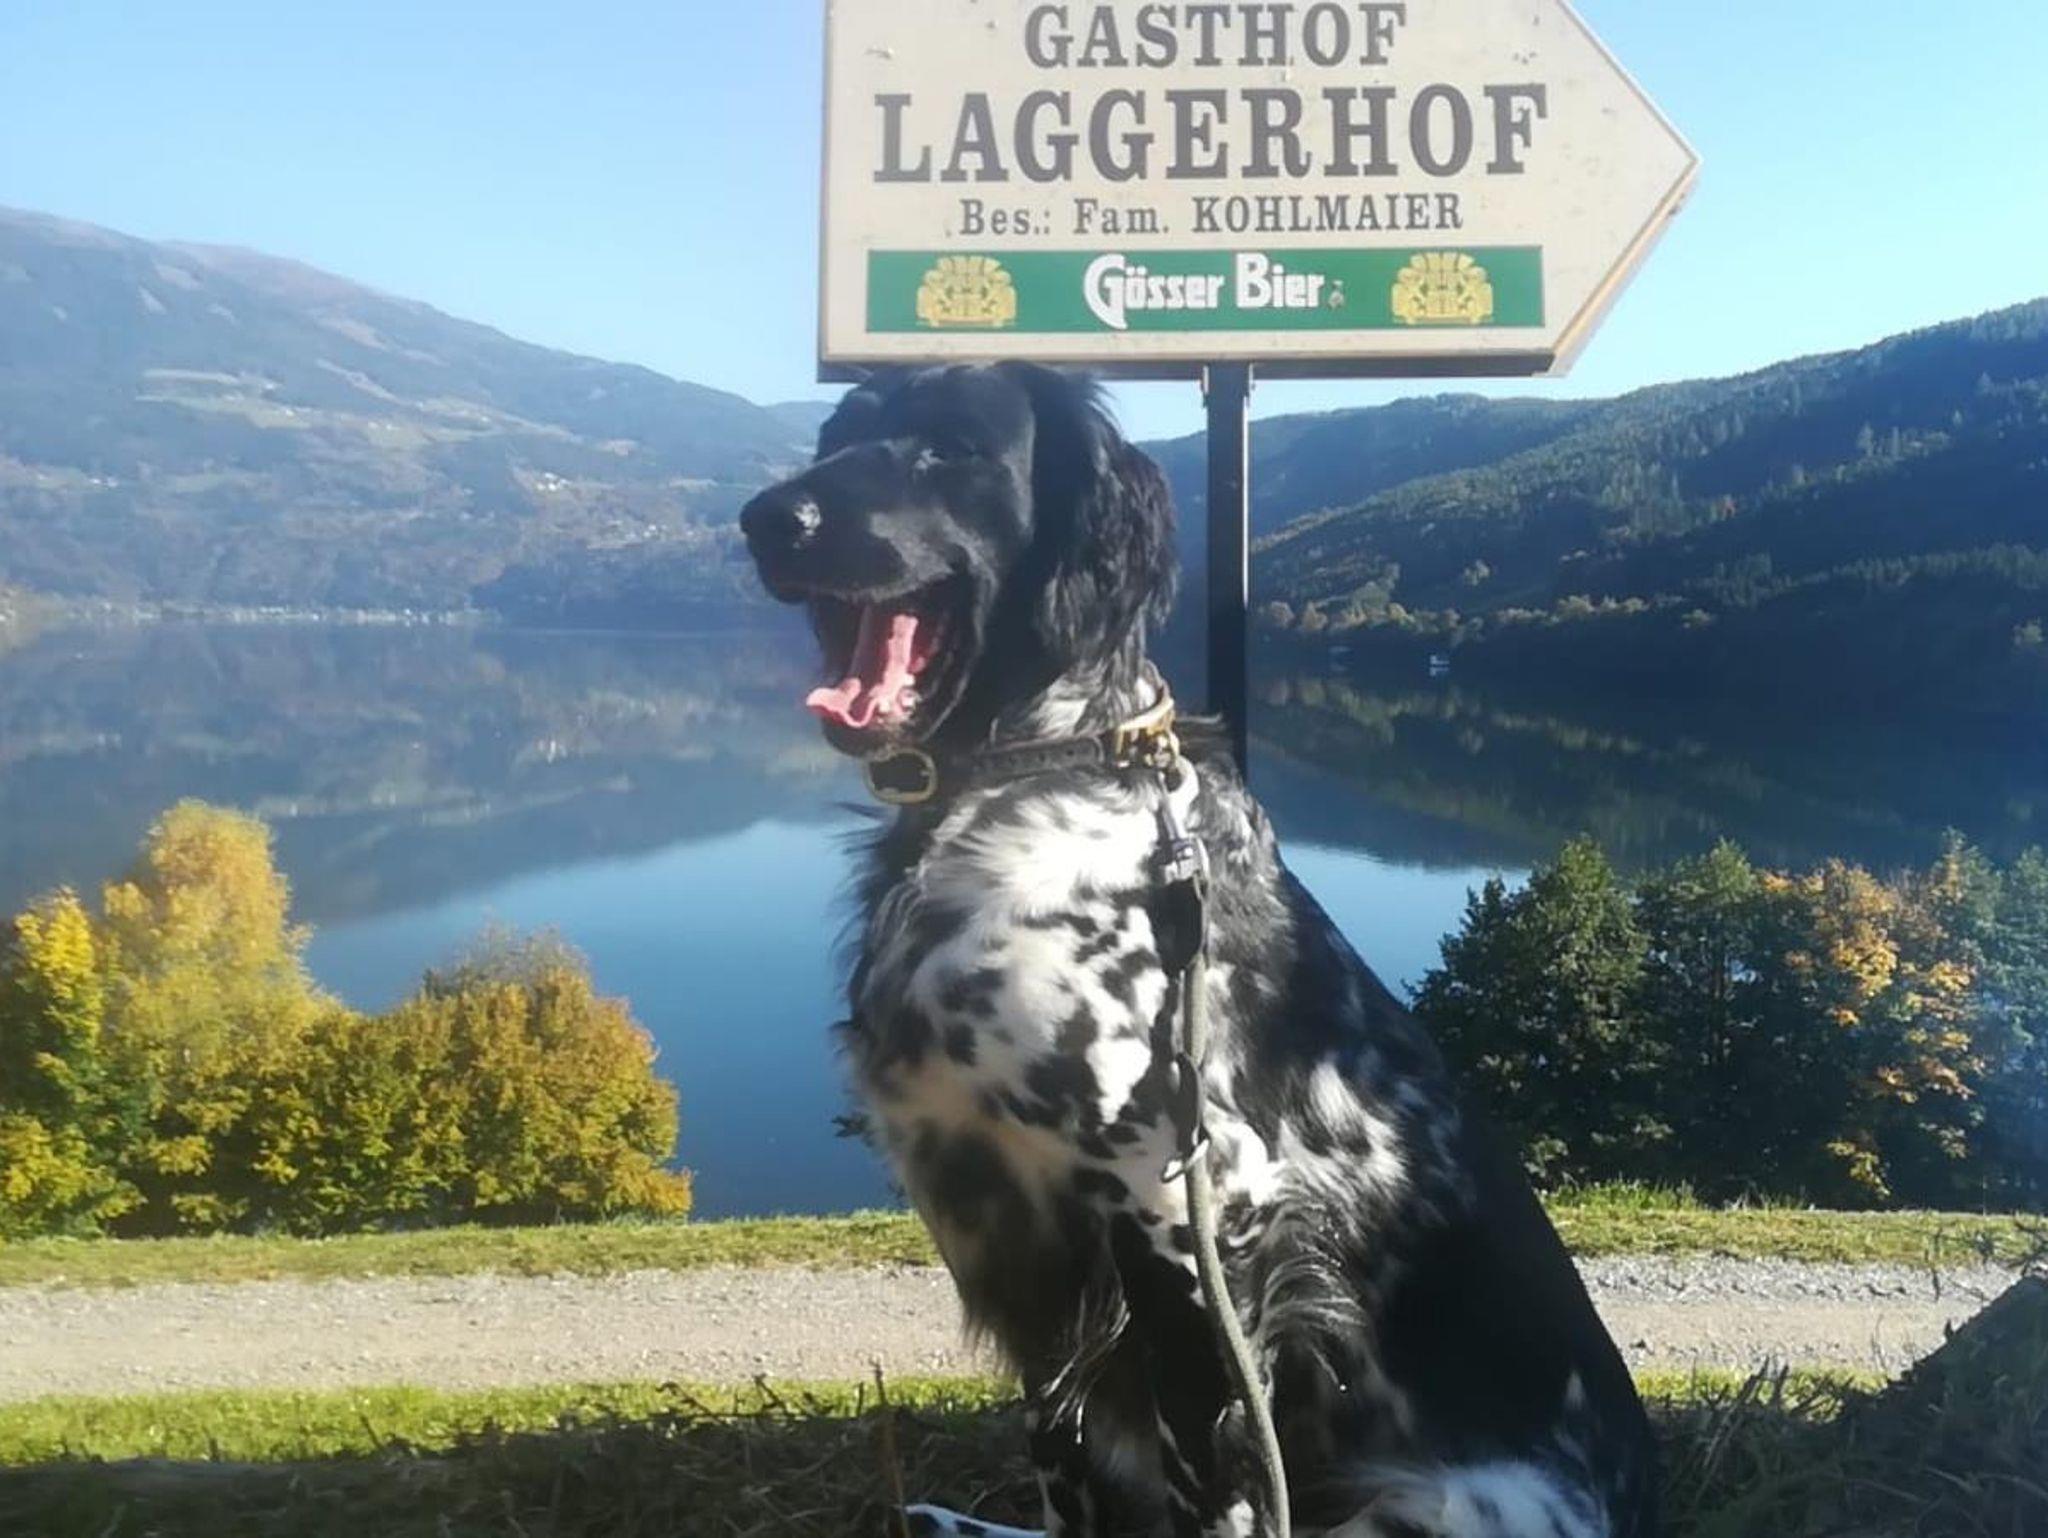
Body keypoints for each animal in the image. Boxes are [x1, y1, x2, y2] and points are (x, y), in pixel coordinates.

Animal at [741, 364, 1655, 1538]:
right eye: (839, 434)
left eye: (951, 446)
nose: (769, 519)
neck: (1032, 768)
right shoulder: (1024, 1247)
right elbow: (1063, 1465)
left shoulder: (1186, 1208)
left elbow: (1212, 1485)